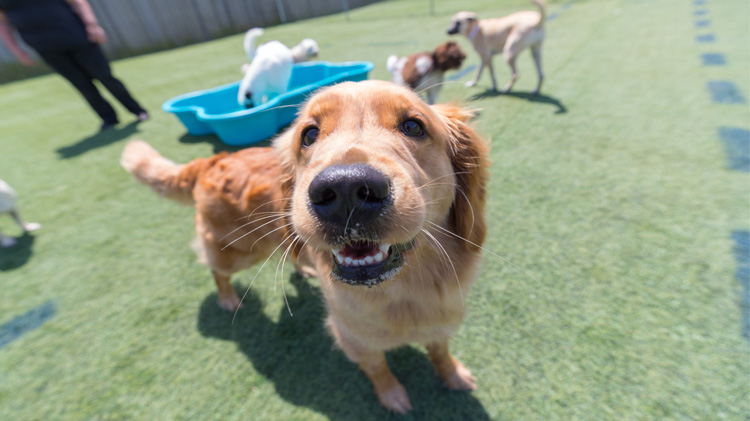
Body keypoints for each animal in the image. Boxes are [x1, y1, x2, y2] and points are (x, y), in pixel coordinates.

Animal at [276, 80, 494, 412]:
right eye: (309, 134)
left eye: (413, 126)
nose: (346, 188)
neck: (401, 294)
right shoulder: (352, 337)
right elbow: (378, 367)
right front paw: (392, 396)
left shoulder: (443, 319)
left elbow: (440, 351)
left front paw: (453, 375)